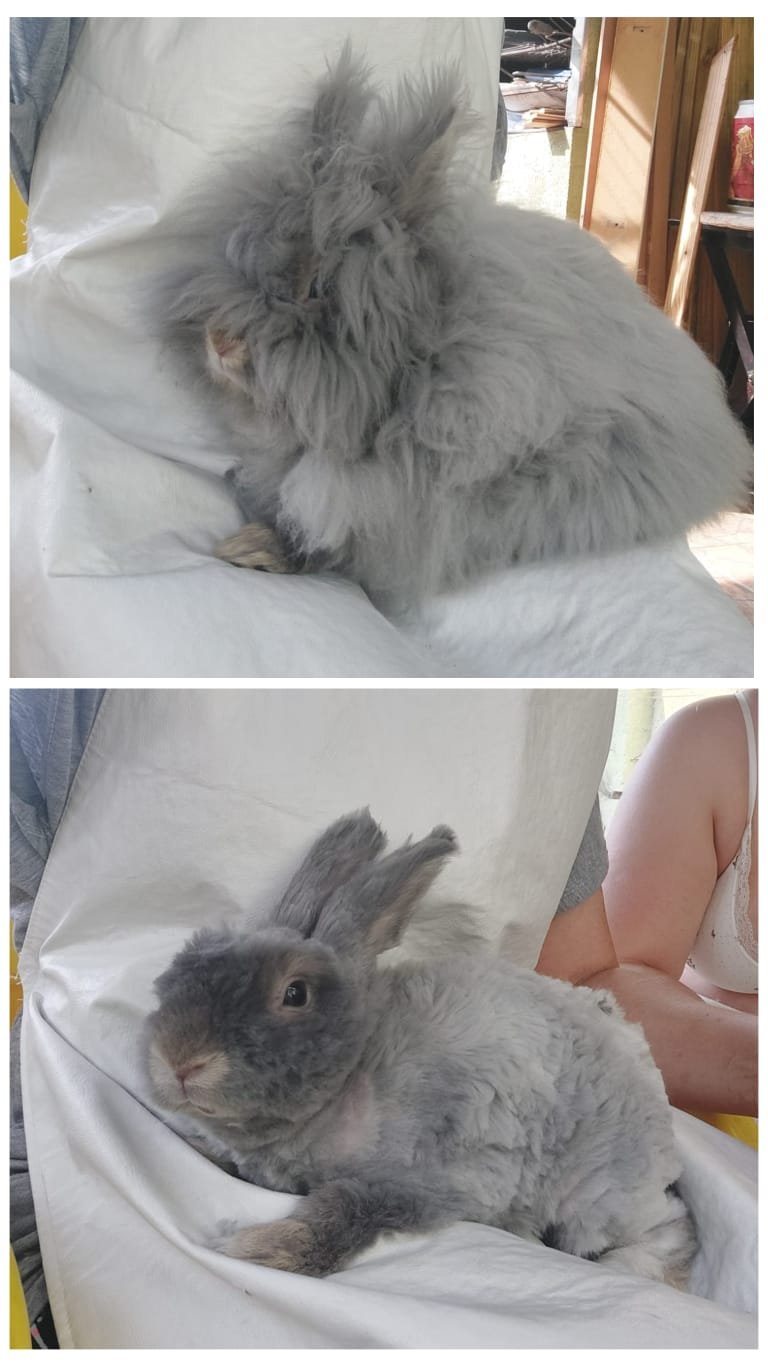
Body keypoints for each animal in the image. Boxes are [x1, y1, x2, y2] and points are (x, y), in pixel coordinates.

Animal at [145, 809, 696, 1285]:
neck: (354, 1073)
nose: (178, 1061)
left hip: (598, 1195)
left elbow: (346, 1210)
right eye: (186, 959)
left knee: (671, 1225)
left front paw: (263, 1249)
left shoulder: (424, 1185)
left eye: (295, 993)